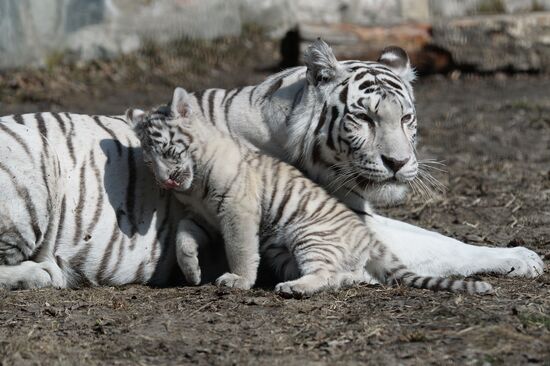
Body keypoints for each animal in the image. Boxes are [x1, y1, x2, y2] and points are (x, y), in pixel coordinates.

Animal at [129, 87, 496, 296]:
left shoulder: (237, 210)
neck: (193, 187)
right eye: (147, 160)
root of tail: (367, 236)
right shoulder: (202, 216)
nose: (166, 180)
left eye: (168, 151)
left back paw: (294, 288)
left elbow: (240, 248)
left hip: (309, 236)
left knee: (323, 272)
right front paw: (191, 270)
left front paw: (238, 280)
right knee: (342, 275)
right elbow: (182, 236)